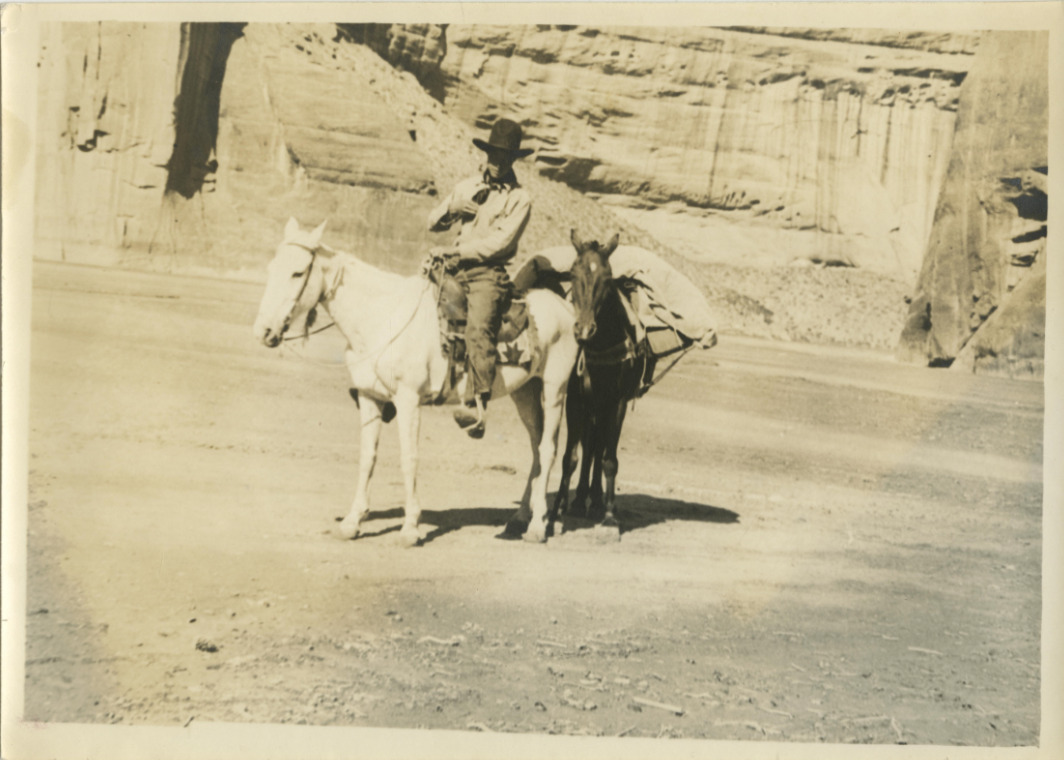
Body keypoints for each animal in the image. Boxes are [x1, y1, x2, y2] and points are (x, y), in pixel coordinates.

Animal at [252, 219, 578, 544]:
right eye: (271, 268)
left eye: (297, 272)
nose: (264, 331)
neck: (383, 318)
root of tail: (565, 308)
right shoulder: (369, 397)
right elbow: (367, 457)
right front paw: (352, 522)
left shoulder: (408, 400)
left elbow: (409, 458)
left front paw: (410, 528)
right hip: (524, 391)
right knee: (536, 447)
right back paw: (518, 519)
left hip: (554, 388)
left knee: (548, 449)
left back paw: (537, 527)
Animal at [557, 227, 646, 530]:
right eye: (572, 272)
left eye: (607, 278)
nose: (584, 330)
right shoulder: (575, 400)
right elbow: (570, 457)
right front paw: (560, 508)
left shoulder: (617, 403)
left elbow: (609, 459)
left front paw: (608, 514)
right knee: (589, 446)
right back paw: (580, 500)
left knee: (598, 449)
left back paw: (596, 501)